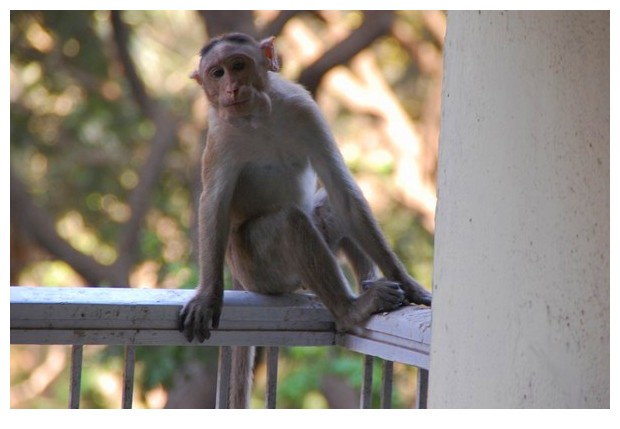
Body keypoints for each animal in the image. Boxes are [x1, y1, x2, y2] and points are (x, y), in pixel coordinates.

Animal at [179, 31, 432, 406]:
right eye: (216, 73)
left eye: (238, 65)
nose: (231, 89)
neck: (259, 117)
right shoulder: (221, 135)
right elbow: (214, 205)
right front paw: (208, 295)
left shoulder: (304, 109)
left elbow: (341, 189)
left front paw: (408, 282)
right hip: (256, 269)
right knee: (289, 222)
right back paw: (350, 310)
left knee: (329, 208)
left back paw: (367, 286)